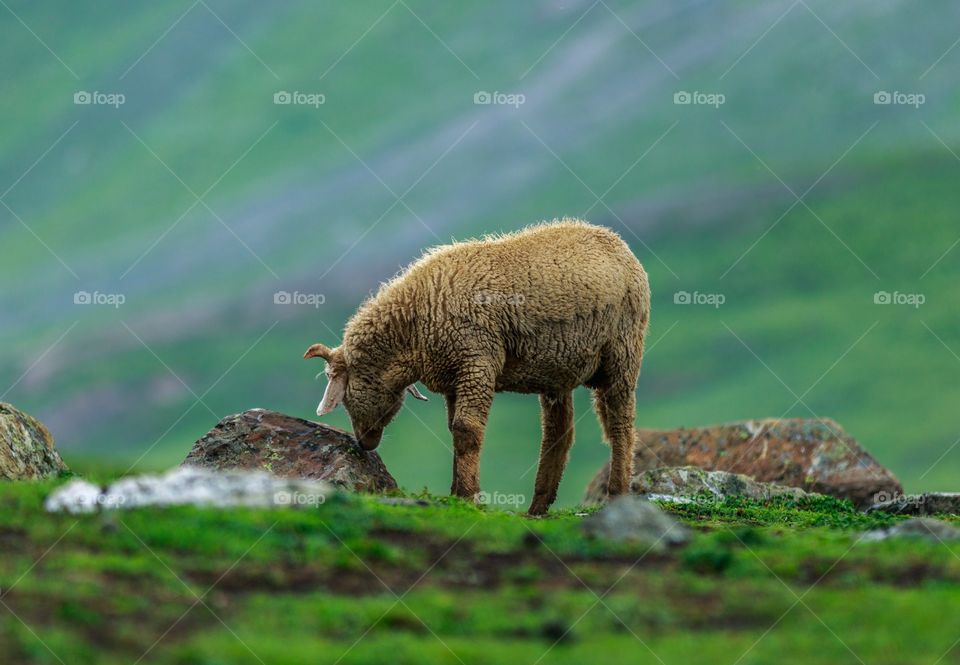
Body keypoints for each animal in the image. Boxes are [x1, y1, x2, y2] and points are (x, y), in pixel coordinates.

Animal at [306, 218, 652, 512]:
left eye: (345, 394)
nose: (365, 443)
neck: (415, 329)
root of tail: (616, 241)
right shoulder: (453, 377)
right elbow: (453, 431)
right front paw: (458, 493)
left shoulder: (476, 363)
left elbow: (466, 431)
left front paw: (467, 496)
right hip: (557, 369)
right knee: (559, 433)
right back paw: (538, 507)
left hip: (623, 352)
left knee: (621, 425)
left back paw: (617, 494)